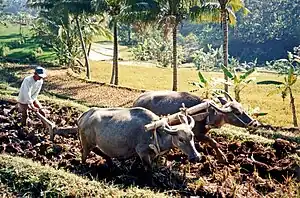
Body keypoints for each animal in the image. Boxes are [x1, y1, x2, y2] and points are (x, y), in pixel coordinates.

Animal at [132, 90, 260, 163]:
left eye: (242, 108)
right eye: (237, 112)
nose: (255, 123)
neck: (207, 113)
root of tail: (136, 100)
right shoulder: (198, 134)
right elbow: (213, 142)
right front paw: (222, 157)